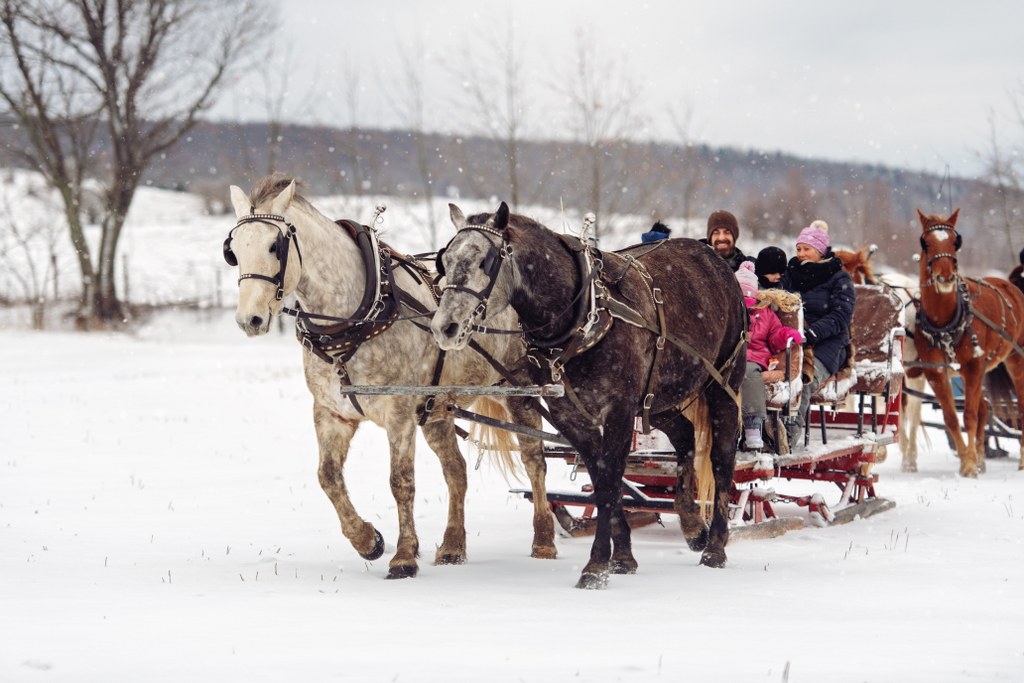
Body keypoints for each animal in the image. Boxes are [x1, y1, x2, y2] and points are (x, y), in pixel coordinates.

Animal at [225, 176, 557, 577]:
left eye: (275, 246)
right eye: (233, 250)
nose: (250, 319)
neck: (355, 317)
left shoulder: (398, 413)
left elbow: (401, 481)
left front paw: (403, 556)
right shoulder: (331, 413)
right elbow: (328, 477)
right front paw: (368, 541)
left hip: (518, 388)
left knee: (534, 458)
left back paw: (543, 539)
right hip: (437, 411)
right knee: (456, 471)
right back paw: (452, 546)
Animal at [913, 210, 1024, 479]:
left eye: (956, 242)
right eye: (926, 243)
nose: (945, 277)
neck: (945, 323)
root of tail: (1010, 285)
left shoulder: (972, 367)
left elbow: (971, 416)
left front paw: (971, 465)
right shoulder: (936, 373)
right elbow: (952, 418)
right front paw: (968, 460)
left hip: (1016, 360)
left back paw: (1021, 461)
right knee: (985, 409)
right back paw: (983, 458)